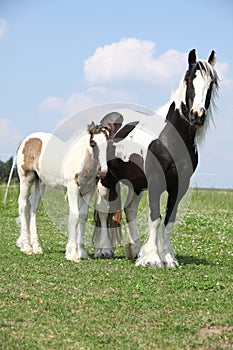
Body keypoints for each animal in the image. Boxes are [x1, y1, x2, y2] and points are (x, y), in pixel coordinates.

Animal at [15, 123, 111, 262]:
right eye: (93, 143)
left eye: (110, 143)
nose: (103, 172)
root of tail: (25, 141)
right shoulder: (72, 188)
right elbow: (74, 215)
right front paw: (72, 254)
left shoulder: (88, 190)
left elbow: (83, 216)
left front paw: (82, 252)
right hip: (26, 178)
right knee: (23, 205)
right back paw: (27, 247)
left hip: (40, 183)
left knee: (33, 207)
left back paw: (36, 247)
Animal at [92, 49, 218, 266]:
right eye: (189, 80)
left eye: (211, 84)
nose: (197, 115)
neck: (169, 138)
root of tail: (109, 119)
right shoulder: (155, 181)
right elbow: (155, 217)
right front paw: (152, 258)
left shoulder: (179, 186)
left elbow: (169, 220)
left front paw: (166, 257)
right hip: (107, 178)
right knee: (102, 209)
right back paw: (105, 250)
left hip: (136, 183)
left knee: (129, 210)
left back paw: (134, 250)